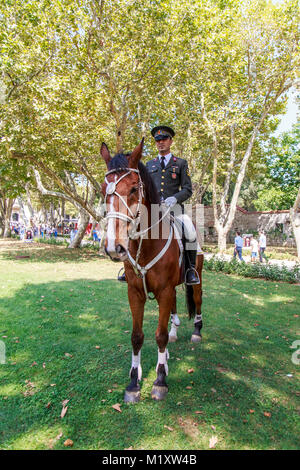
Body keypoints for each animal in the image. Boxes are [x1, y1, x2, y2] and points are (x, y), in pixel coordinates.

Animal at [101, 139, 204, 400]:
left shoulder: (164, 290)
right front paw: (133, 382)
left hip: (196, 277)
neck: (146, 244)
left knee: (197, 300)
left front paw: (160, 379)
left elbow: (160, 335)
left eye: (133, 189)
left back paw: (196, 331)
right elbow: (137, 336)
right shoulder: (135, 292)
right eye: (103, 190)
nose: (114, 248)